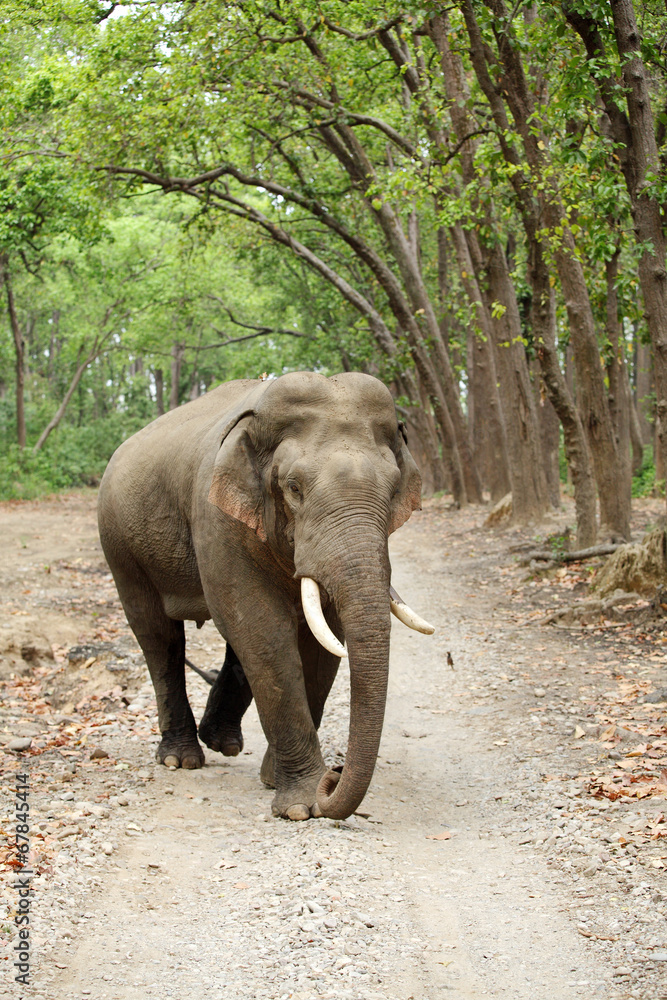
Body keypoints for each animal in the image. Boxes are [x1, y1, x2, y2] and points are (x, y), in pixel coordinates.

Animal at [98, 372, 434, 816]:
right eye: (293, 487)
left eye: (394, 488)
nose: (336, 775)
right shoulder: (216, 517)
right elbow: (264, 632)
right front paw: (302, 805)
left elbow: (320, 642)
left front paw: (280, 783)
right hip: (120, 545)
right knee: (159, 636)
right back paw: (180, 759)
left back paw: (222, 742)